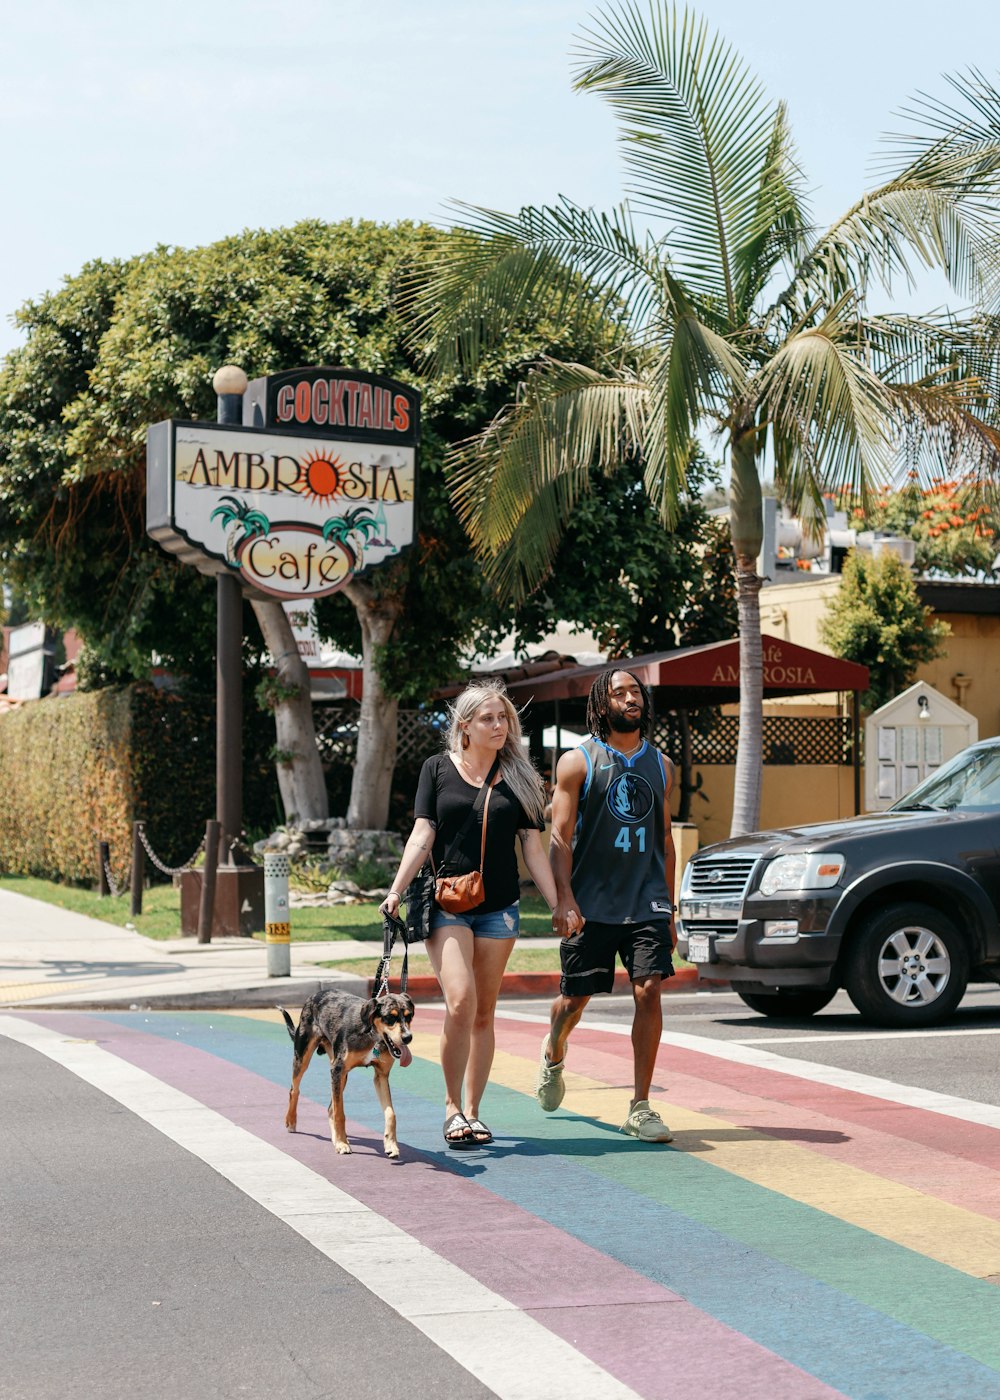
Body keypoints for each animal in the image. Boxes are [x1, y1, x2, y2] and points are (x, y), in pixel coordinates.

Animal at [275, 985, 411, 1159]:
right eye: (390, 1017)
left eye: (409, 1016)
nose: (408, 1037)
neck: (370, 1033)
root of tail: (316, 994)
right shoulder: (337, 1070)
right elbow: (340, 1113)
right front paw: (342, 1143)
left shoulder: (380, 1076)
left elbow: (391, 1114)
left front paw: (391, 1145)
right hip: (304, 1057)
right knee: (295, 1089)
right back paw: (291, 1121)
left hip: (341, 1076)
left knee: (330, 1108)